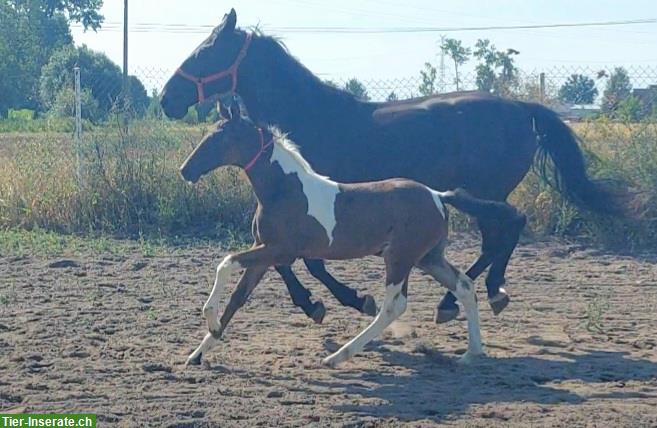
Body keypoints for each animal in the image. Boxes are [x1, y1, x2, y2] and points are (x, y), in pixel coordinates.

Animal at [159, 9, 624, 324]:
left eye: (205, 52)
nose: (166, 99)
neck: (313, 116)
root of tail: (521, 107)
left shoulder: (317, 210)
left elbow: (304, 262)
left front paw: (338, 302)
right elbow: (288, 261)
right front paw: (323, 303)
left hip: (488, 191)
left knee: (506, 230)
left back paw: (464, 299)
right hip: (484, 194)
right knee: (502, 233)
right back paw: (476, 295)